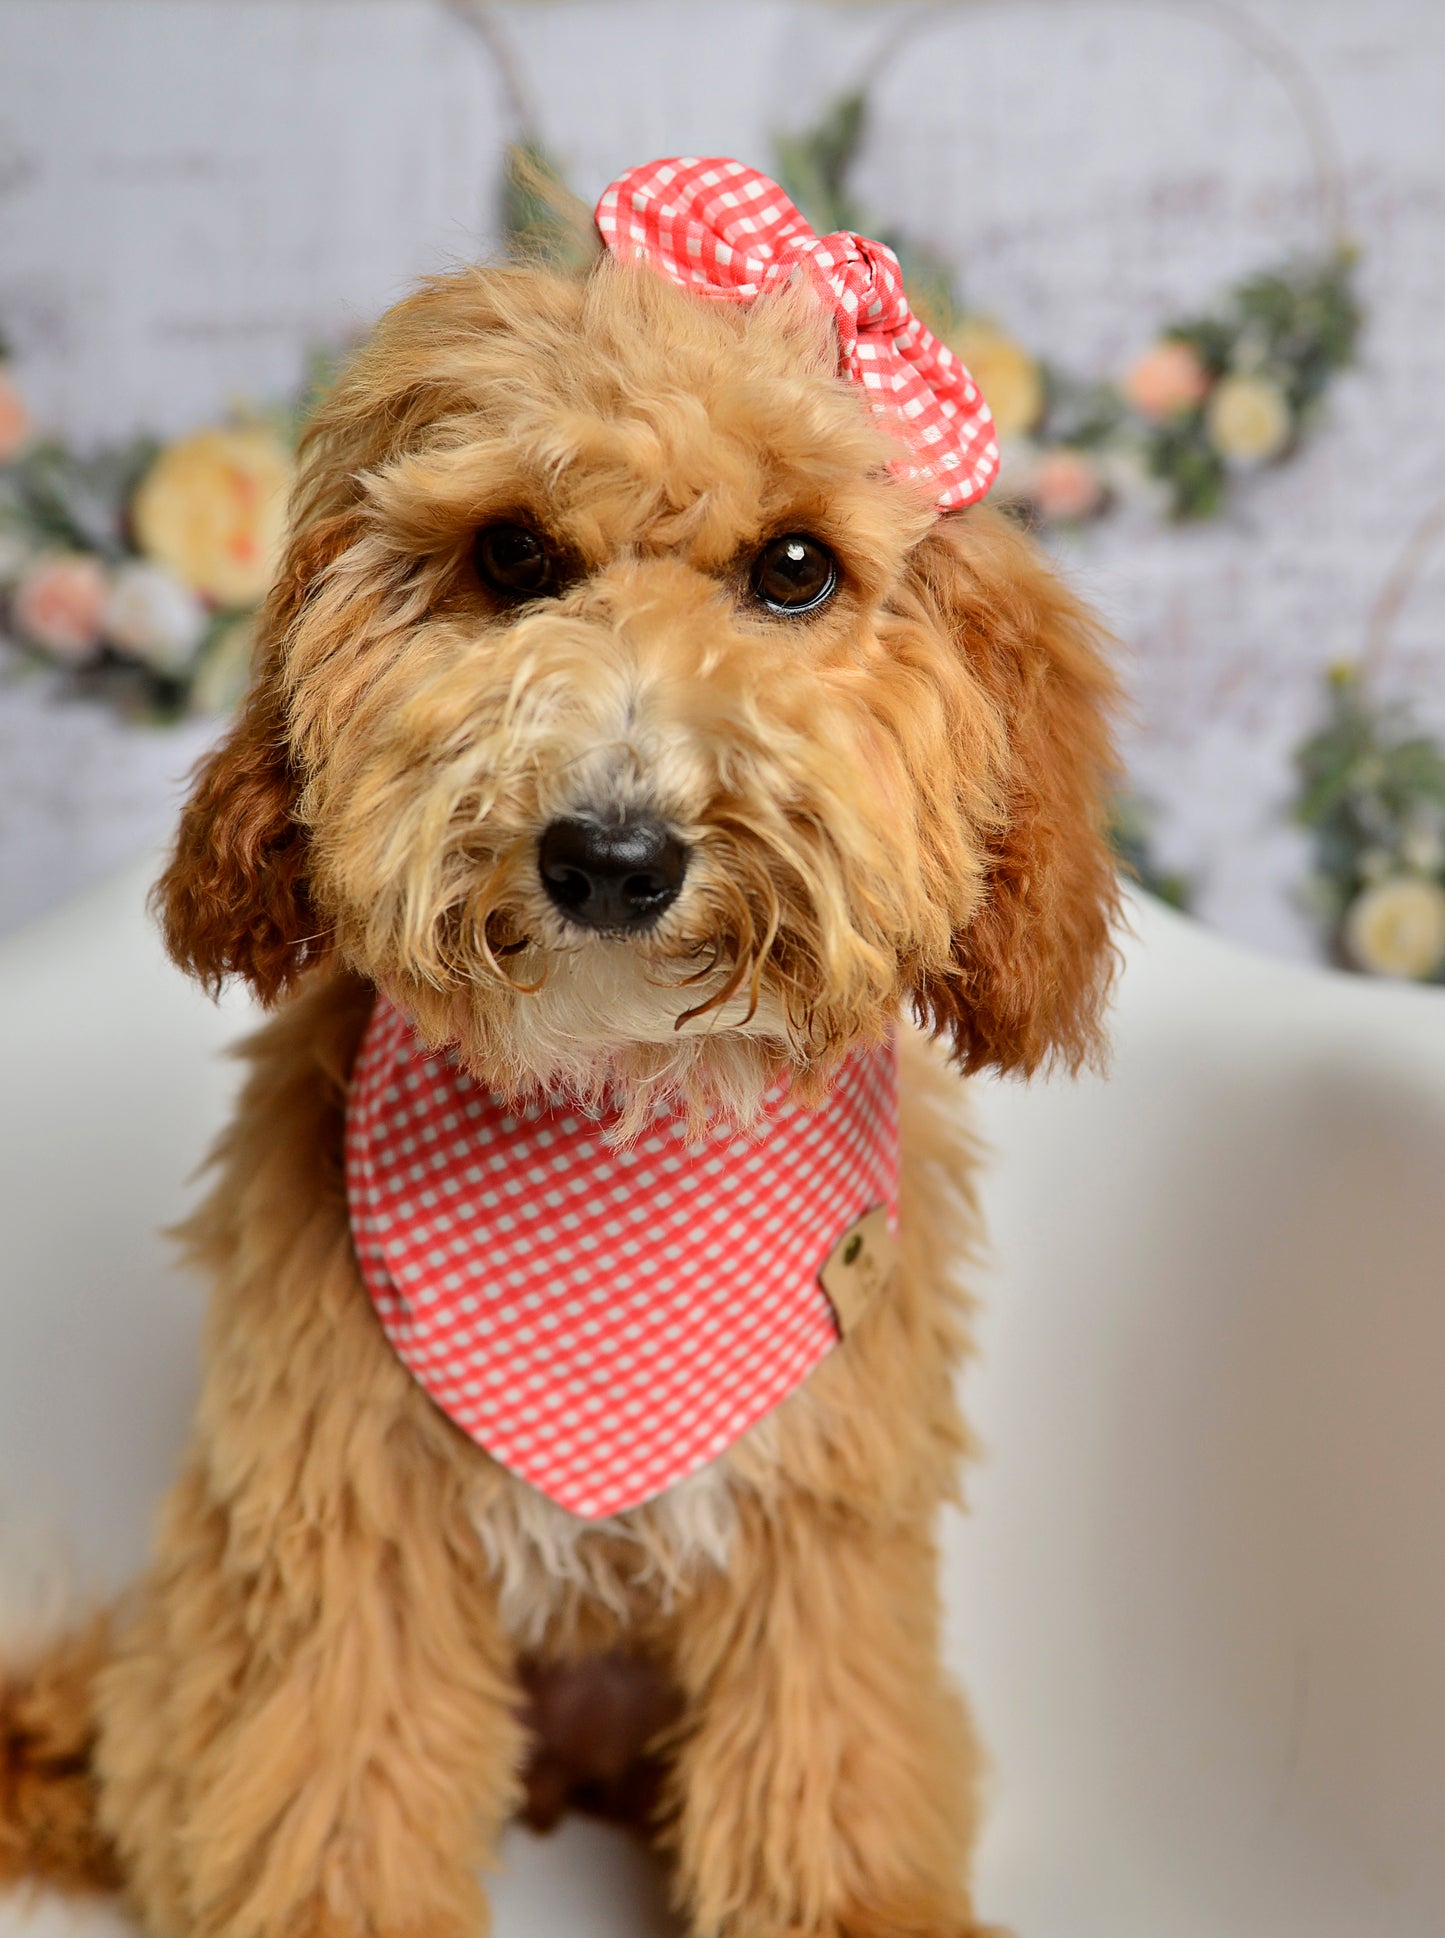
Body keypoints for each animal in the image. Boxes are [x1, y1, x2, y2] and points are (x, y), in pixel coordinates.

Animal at [2, 166, 1115, 1938]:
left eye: (794, 569)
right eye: (514, 553)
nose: (609, 855)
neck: (620, 1106)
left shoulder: (820, 1535)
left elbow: (828, 1780)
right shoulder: (347, 1533)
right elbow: (335, 1806)